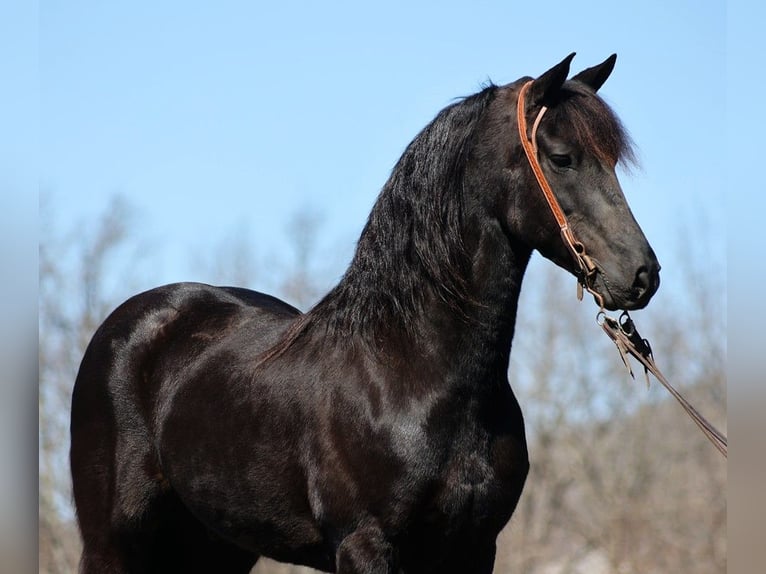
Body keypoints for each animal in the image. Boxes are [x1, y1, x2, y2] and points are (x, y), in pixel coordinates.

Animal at [72, 55, 660, 574]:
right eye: (561, 157)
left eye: (612, 161)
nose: (642, 275)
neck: (409, 370)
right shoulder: (364, 544)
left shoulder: (473, 550)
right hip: (114, 541)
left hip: (215, 548)